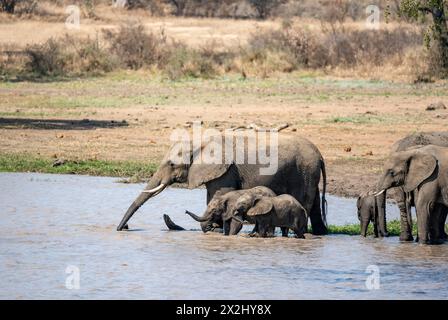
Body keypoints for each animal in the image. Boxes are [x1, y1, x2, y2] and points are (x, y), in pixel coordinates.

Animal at [116, 132, 328, 235]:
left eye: (171, 164)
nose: (122, 229)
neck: (199, 143)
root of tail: (320, 154)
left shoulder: (226, 169)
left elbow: (219, 194)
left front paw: (213, 228)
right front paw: (215, 228)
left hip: (304, 171)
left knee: (305, 202)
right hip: (309, 172)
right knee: (315, 204)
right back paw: (320, 234)